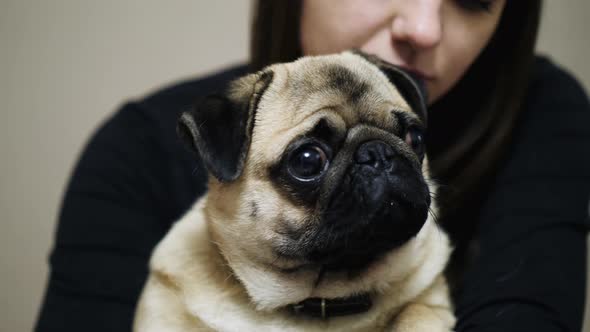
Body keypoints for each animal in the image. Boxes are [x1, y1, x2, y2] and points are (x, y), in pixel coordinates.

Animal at [135, 50, 458, 332]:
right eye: (308, 160)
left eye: (415, 137)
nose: (377, 153)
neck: (321, 298)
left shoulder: (429, 303)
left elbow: (415, 313)